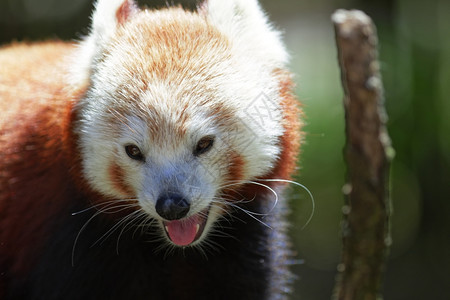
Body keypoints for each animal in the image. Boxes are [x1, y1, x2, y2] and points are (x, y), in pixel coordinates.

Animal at [0, 1, 302, 298]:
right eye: (134, 151)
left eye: (204, 144)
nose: (172, 206)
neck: (179, 251)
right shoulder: (71, 234)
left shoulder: (248, 239)